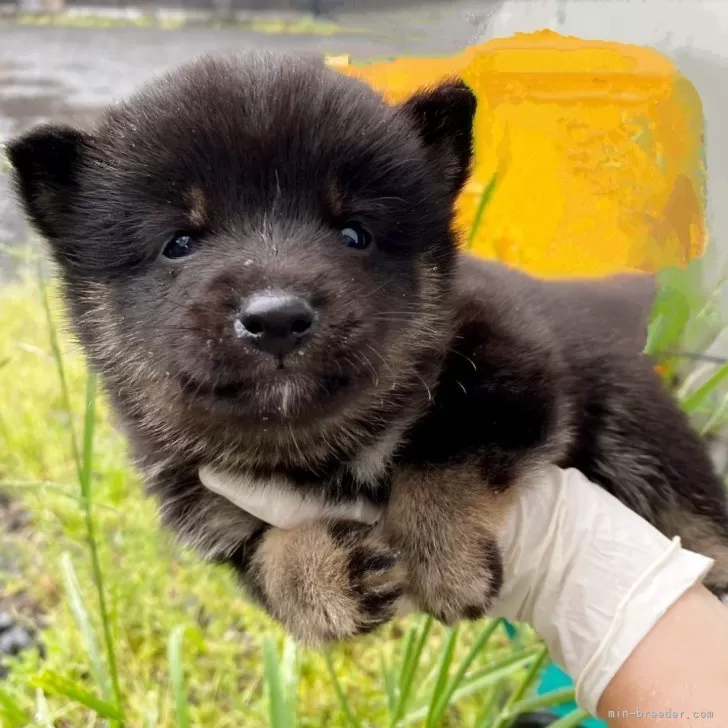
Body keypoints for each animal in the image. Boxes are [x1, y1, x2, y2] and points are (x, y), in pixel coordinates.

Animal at [9, 49, 728, 644]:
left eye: (354, 233)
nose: (276, 319)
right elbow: (261, 558)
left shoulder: (517, 363)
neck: (315, 454)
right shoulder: (207, 504)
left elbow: (445, 450)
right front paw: (316, 577)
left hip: (645, 438)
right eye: (178, 243)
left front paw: (443, 559)